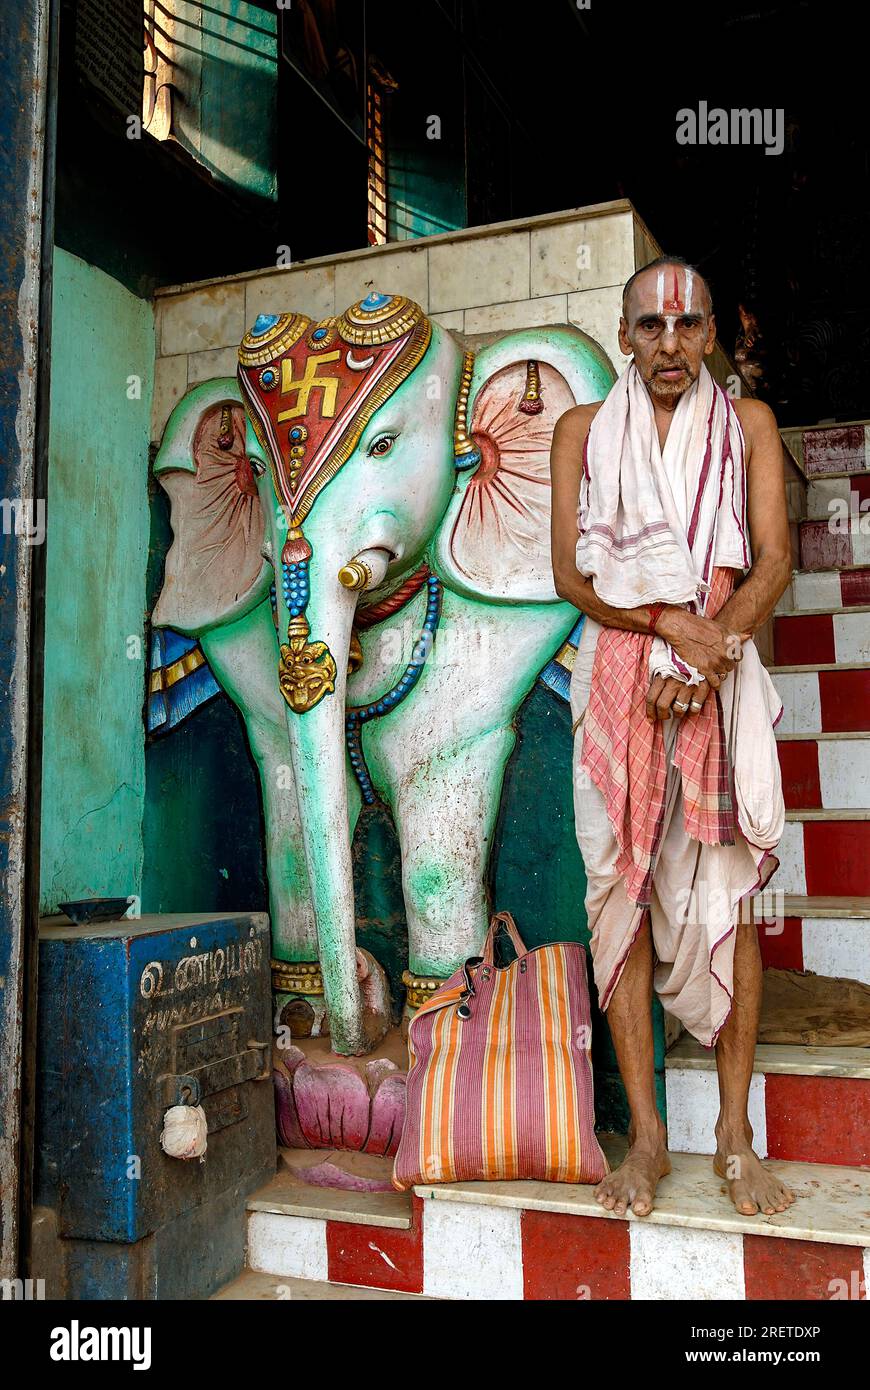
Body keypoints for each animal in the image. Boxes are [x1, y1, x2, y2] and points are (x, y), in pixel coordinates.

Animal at [147, 293, 608, 1050]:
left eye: (382, 446)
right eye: (252, 468)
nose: (357, 1031)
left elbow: (438, 824)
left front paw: (437, 1016)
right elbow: (290, 808)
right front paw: (299, 1015)